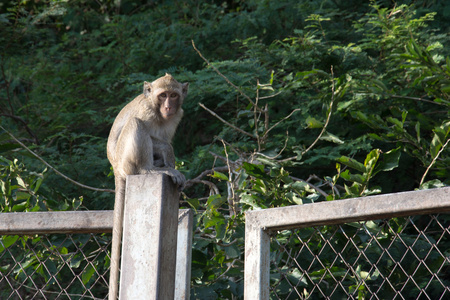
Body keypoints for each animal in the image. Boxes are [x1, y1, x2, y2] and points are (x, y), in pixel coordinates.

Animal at [107, 73, 188, 300]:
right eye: (162, 95)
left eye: (173, 95)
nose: (168, 106)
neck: (159, 114)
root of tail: (116, 169)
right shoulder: (147, 111)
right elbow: (157, 138)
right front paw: (169, 156)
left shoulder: (177, 116)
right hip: (125, 161)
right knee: (136, 125)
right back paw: (148, 170)